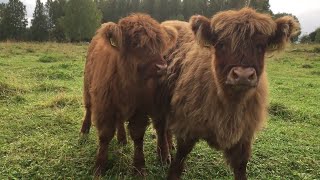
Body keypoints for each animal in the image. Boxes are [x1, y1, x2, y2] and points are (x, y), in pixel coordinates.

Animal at [78, 13, 176, 176]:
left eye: (159, 44)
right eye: (136, 44)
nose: (162, 67)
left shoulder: (140, 110)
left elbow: (138, 136)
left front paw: (139, 167)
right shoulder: (105, 106)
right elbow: (105, 135)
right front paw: (99, 166)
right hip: (88, 86)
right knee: (89, 108)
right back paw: (84, 131)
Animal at [161, 7, 302, 179]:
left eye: (260, 46)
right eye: (221, 44)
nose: (243, 75)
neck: (231, 104)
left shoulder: (244, 136)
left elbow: (241, 168)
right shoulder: (186, 127)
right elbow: (179, 161)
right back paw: (164, 155)